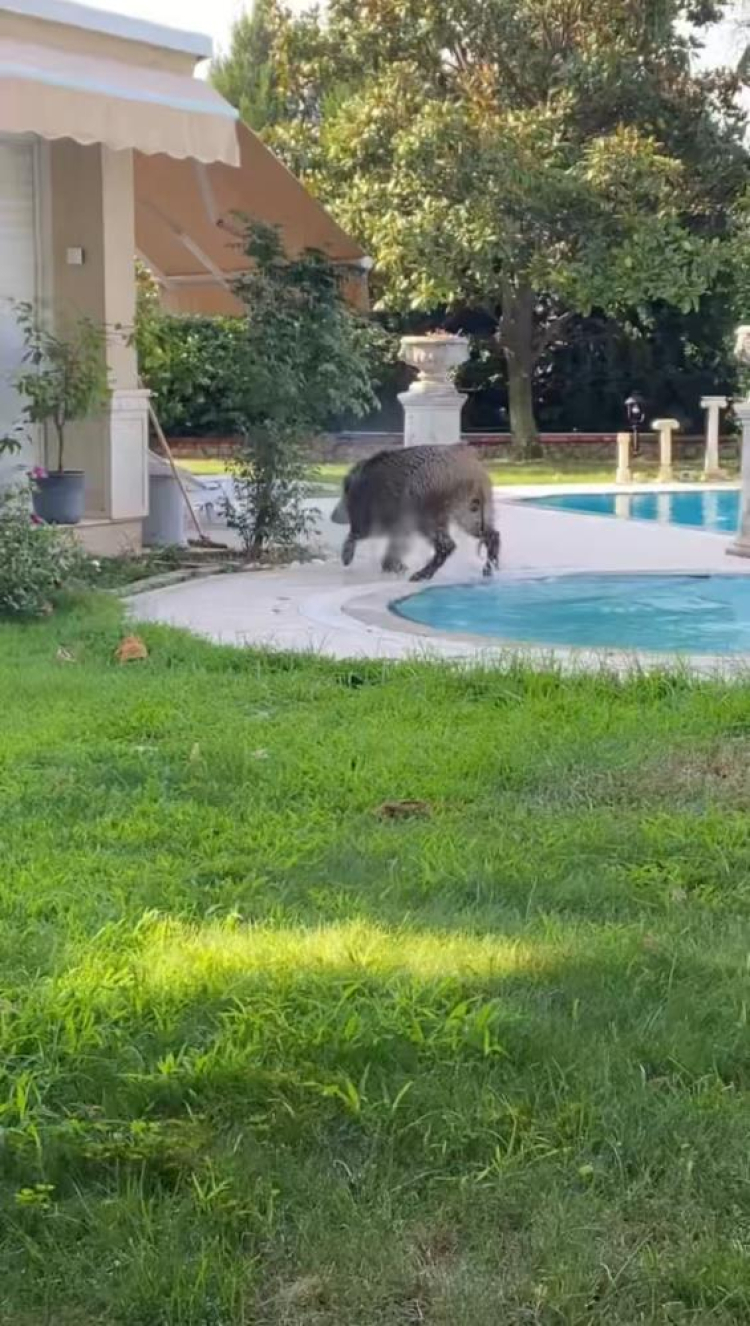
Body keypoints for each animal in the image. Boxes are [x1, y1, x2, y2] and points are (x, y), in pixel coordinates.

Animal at [331, 444, 501, 581]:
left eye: (343, 492)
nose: (332, 516)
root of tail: (473, 473)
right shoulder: (400, 524)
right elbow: (396, 544)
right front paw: (396, 567)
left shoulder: (373, 517)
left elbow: (357, 534)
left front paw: (346, 559)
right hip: (471, 509)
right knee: (491, 533)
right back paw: (489, 570)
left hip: (427, 510)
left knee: (447, 545)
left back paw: (419, 576)